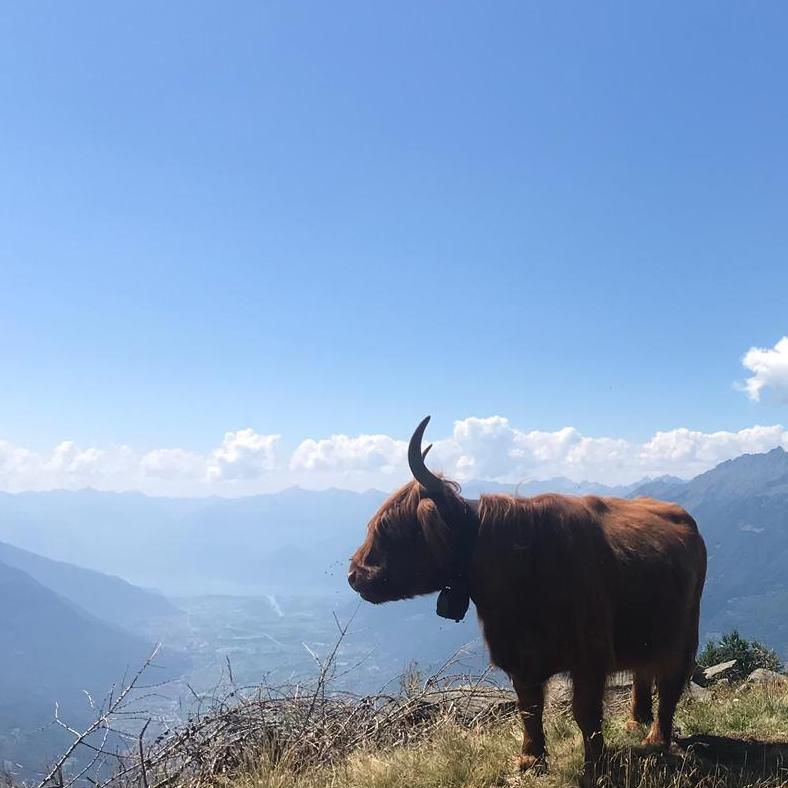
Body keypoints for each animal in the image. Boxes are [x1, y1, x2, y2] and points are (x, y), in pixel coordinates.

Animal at [348, 416, 707, 774]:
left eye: (389, 527)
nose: (353, 574)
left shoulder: (589, 656)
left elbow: (585, 712)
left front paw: (594, 765)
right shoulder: (519, 657)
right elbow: (529, 708)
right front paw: (531, 759)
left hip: (684, 629)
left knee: (670, 681)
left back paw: (656, 738)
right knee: (643, 671)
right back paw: (636, 722)